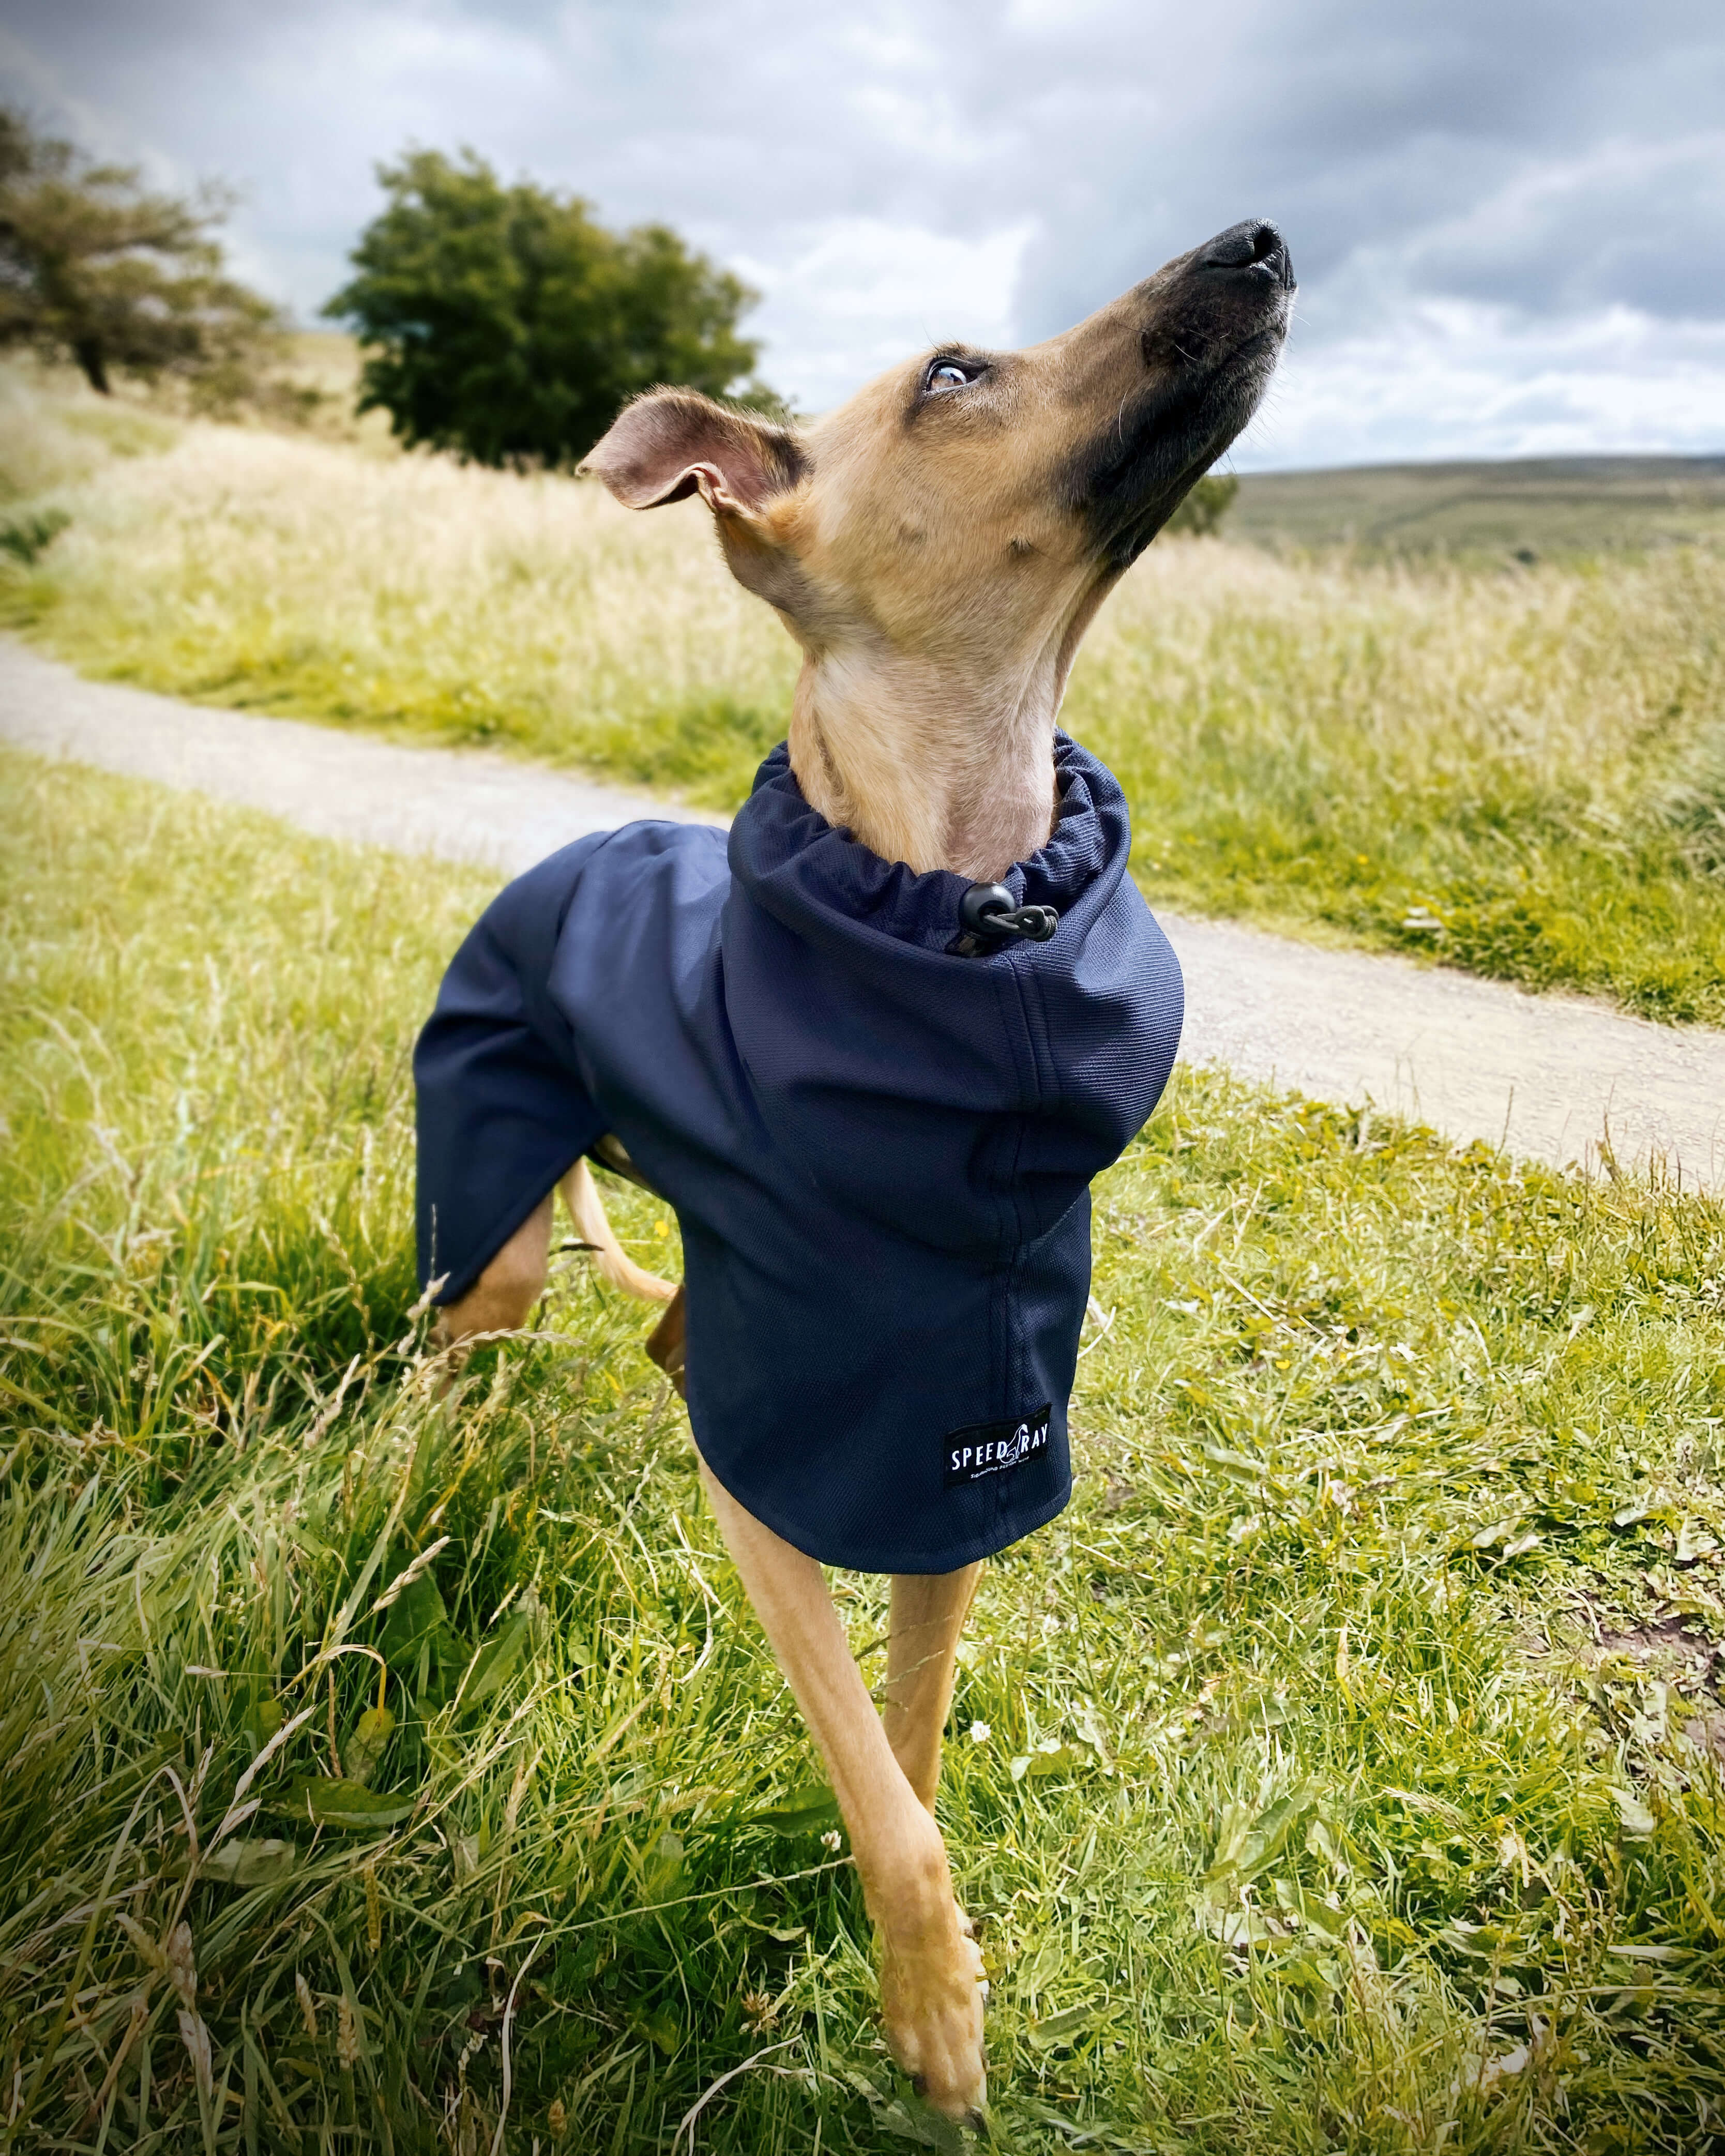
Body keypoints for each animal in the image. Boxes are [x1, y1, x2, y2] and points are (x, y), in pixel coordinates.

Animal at [420, 223, 1294, 2121]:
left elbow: (907, 1744)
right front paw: (934, 2008)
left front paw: (898, 1956)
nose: (1260, 244)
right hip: (492, 1221)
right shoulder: (762, 1482)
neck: (965, 920)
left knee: (650, 1336)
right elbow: (885, 1789)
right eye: (954, 373)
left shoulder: (959, 1440)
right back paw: (433, 1476)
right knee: (463, 1333)